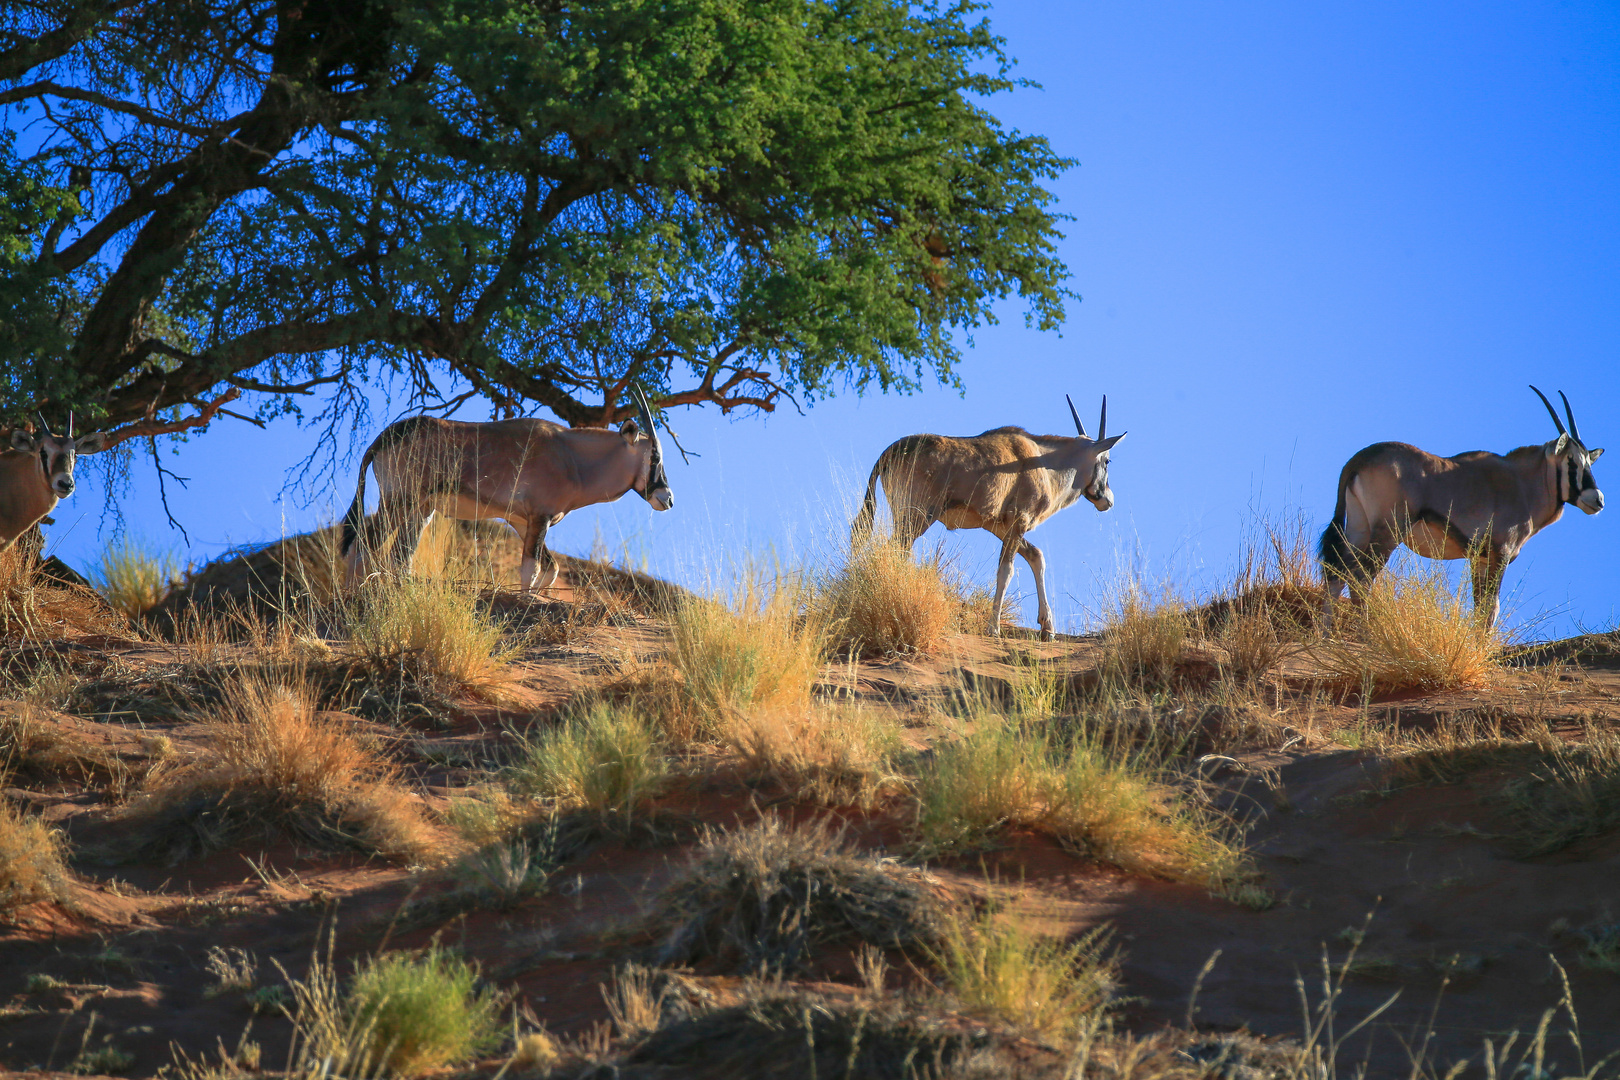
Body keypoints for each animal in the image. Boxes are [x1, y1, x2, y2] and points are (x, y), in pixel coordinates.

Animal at [341, 386, 670, 592]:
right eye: (654, 457)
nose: (667, 498)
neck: (571, 456)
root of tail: (385, 438)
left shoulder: (523, 522)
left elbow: (550, 570)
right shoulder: (539, 518)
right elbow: (531, 569)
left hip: (420, 511)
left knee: (401, 556)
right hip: (398, 503)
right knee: (362, 546)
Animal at [848, 395, 1127, 637]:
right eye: (1107, 461)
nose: (1108, 500)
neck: (1045, 461)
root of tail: (891, 452)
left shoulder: (1000, 527)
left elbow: (1036, 556)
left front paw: (1047, 627)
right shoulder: (1019, 521)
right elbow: (1006, 571)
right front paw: (994, 628)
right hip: (916, 518)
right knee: (895, 550)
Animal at [1321, 388, 1600, 628]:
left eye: (1589, 462)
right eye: (1571, 461)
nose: (1597, 499)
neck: (1522, 483)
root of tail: (1361, 459)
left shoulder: (1480, 559)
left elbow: (1480, 609)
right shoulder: (1500, 554)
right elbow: (1491, 609)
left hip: (1358, 528)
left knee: (1336, 571)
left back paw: (1325, 636)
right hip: (1387, 532)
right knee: (1361, 577)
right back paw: (1364, 632)